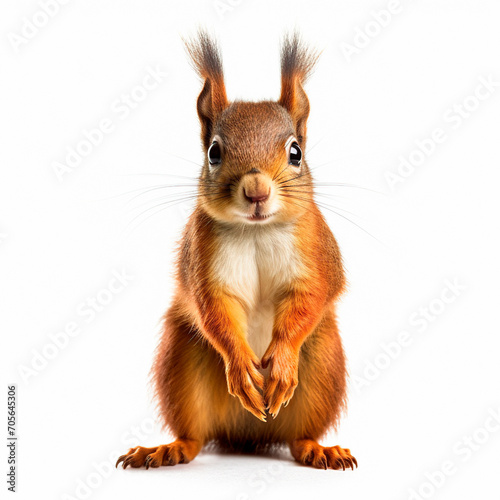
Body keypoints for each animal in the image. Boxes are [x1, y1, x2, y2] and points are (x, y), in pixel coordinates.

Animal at [116, 31, 356, 471]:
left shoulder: (316, 252)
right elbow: (214, 310)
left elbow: (312, 296)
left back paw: (317, 448)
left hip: (322, 363)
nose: (257, 191)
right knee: (194, 435)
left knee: (300, 435)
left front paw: (280, 363)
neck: (257, 232)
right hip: (181, 359)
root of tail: (250, 436)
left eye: (295, 152)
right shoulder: (203, 258)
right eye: (214, 151)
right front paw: (243, 367)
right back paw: (168, 449)